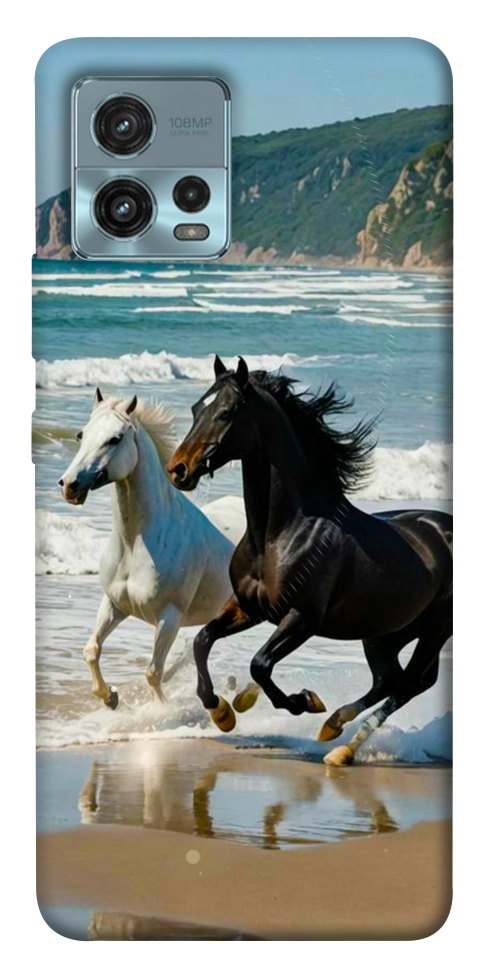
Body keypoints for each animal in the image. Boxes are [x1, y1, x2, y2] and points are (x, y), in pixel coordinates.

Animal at [59, 388, 234, 709]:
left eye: (115, 438)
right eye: (81, 434)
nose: (70, 485)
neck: (135, 544)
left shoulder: (169, 618)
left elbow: (153, 672)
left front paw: (161, 711)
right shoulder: (114, 604)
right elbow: (91, 650)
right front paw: (110, 697)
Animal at [166, 356, 453, 765]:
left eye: (225, 413)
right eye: (195, 409)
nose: (179, 469)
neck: (279, 534)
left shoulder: (302, 618)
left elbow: (260, 663)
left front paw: (303, 701)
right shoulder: (248, 608)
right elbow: (202, 641)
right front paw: (222, 712)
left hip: (433, 630)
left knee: (410, 683)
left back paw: (341, 746)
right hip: (385, 632)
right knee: (390, 679)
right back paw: (334, 728)